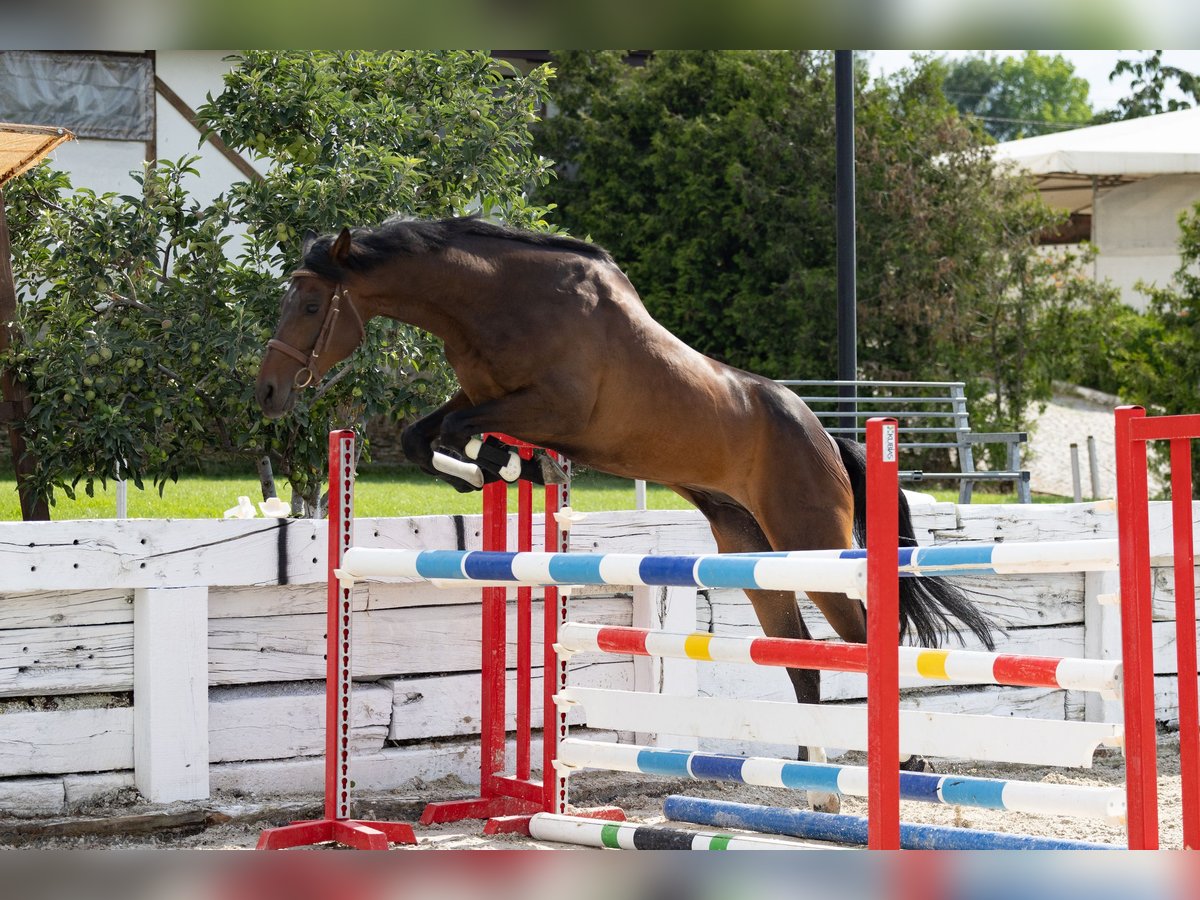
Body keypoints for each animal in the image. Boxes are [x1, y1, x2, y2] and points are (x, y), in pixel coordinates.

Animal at [258, 217, 998, 811]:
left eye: (311, 303)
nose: (266, 391)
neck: (496, 301)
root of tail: (824, 434)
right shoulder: (482, 398)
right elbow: (426, 437)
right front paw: (508, 468)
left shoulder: (553, 407)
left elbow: (457, 434)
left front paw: (514, 466)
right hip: (752, 551)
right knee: (802, 657)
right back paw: (817, 782)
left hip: (812, 545)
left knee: (865, 638)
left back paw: (903, 761)